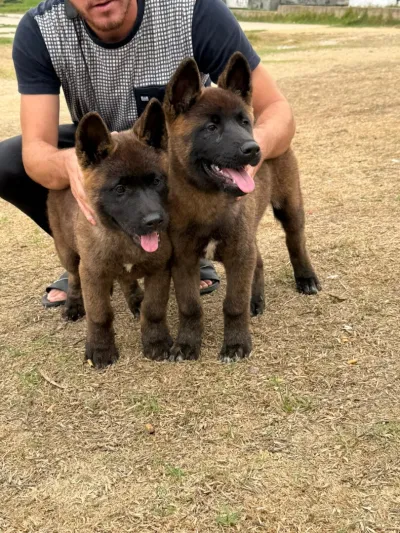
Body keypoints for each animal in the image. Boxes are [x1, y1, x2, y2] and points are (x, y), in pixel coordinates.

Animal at [47, 99, 173, 368]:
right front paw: (101, 348)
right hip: (67, 252)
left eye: (156, 181)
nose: (155, 221)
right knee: (74, 277)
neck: (122, 240)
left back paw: (135, 299)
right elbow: (99, 314)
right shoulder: (92, 272)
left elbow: (153, 309)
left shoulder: (159, 268)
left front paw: (155, 341)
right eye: (120, 189)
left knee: (126, 279)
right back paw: (74, 304)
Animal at [163, 52, 321, 363]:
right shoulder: (184, 259)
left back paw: (306, 278)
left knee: (296, 243)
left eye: (244, 122)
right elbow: (190, 306)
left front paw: (236, 344)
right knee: (257, 261)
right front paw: (186, 344)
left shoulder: (238, 253)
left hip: (290, 207)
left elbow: (233, 304)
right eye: (211, 127)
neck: (208, 199)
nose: (253, 149)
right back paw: (256, 300)